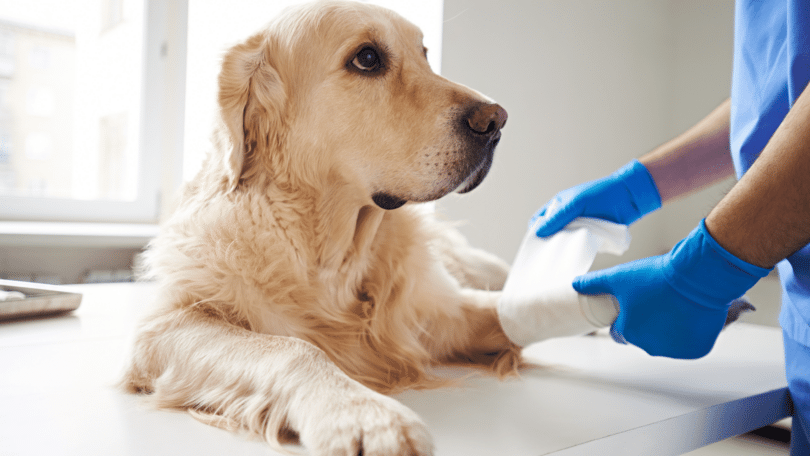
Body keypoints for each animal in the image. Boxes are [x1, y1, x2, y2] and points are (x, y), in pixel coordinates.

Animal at [124, 1, 520, 454]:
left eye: (424, 54)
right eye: (367, 58)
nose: (496, 121)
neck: (331, 256)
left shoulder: (439, 312)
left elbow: (511, 311)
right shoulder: (167, 325)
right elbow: (292, 349)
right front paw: (365, 415)